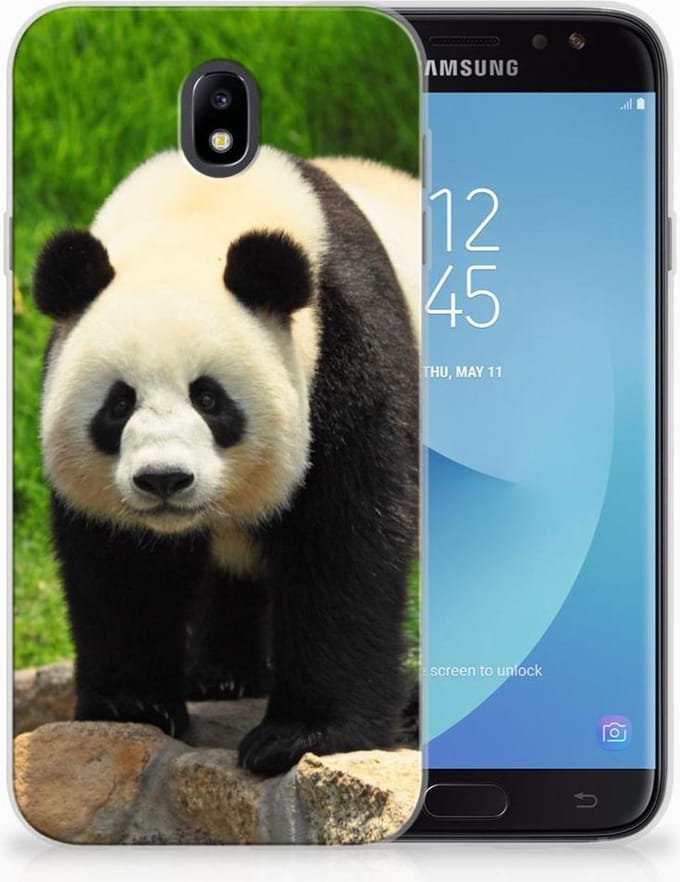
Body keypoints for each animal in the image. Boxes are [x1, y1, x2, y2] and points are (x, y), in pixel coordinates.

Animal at [33, 146, 420, 777]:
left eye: (209, 399)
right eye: (119, 403)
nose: (164, 480)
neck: (196, 216)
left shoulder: (347, 350)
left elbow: (345, 540)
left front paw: (303, 736)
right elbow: (121, 563)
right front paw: (132, 705)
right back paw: (222, 676)